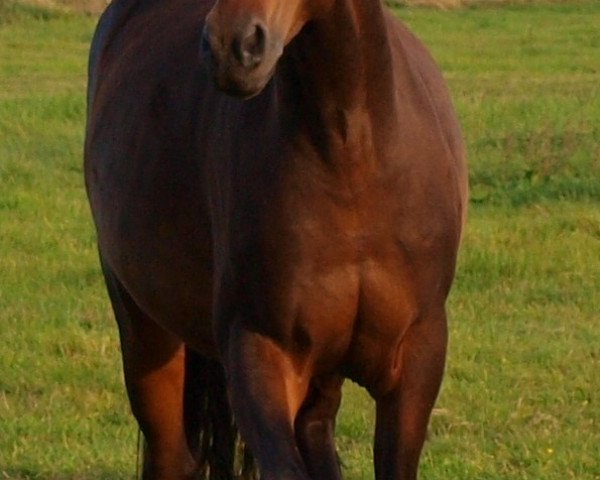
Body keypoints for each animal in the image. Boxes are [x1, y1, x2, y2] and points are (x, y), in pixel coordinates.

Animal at [84, 0, 468, 476]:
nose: (231, 48)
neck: (351, 151)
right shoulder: (260, 351)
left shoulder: (417, 358)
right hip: (145, 335)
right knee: (171, 453)